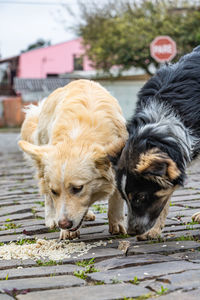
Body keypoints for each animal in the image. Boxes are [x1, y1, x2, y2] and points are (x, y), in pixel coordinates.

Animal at [18, 79, 128, 239]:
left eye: (78, 188)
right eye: (54, 191)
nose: (63, 224)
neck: (78, 137)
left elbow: (116, 199)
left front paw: (117, 224)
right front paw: (66, 231)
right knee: (46, 195)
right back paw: (51, 218)